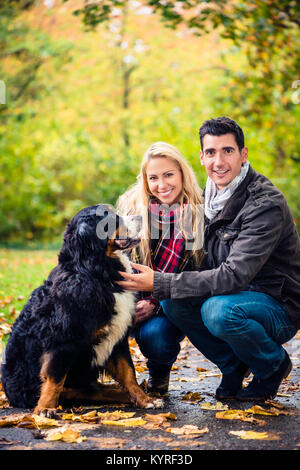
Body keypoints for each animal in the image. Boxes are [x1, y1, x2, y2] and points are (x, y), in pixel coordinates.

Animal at [1, 204, 163, 416]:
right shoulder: (63, 340)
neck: (95, 272)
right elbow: (54, 378)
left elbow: (129, 373)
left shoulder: (118, 337)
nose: (143, 217)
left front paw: (145, 400)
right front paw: (45, 409)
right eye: (110, 218)